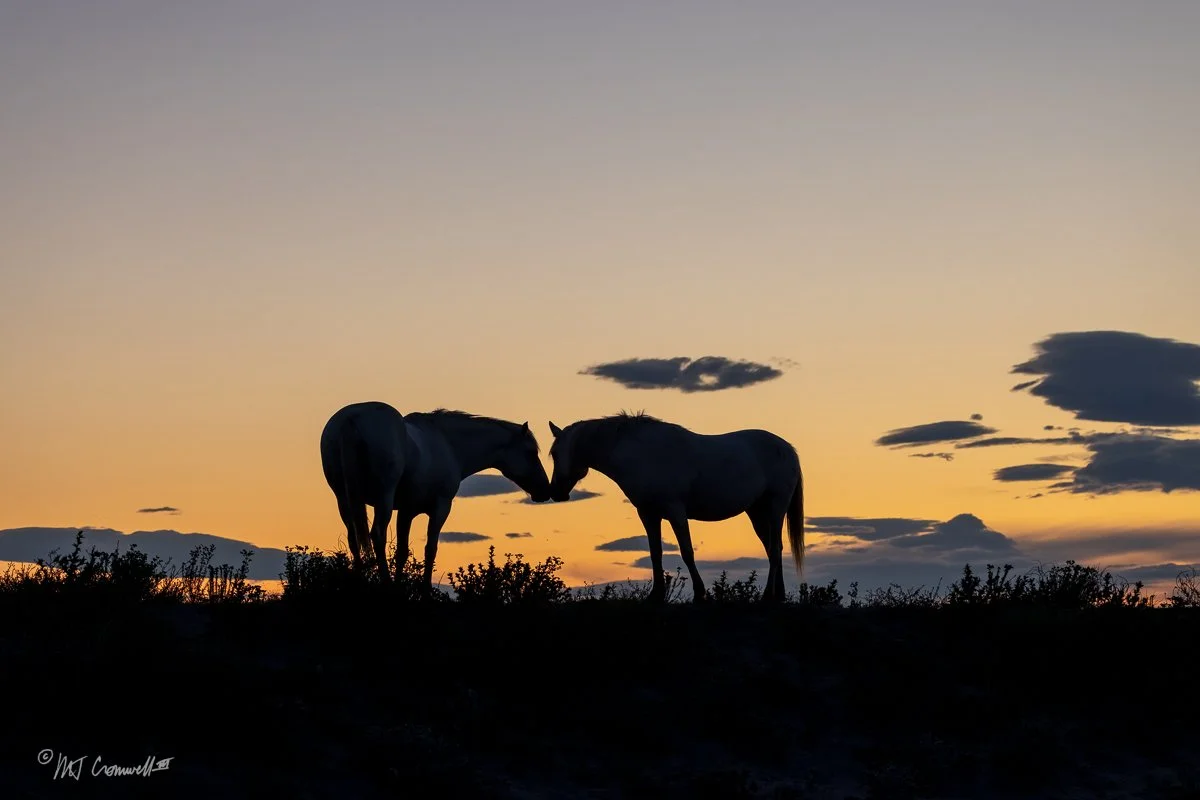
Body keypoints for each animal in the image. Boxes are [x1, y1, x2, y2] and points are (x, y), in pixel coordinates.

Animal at [391, 409, 551, 589]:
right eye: (531, 453)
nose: (546, 490)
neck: (445, 445)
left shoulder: (408, 511)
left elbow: (404, 552)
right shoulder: (429, 509)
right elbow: (426, 551)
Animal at [546, 411, 804, 603]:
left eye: (556, 454)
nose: (555, 492)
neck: (642, 454)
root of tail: (788, 449)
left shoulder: (675, 511)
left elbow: (687, 552)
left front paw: (700, 594)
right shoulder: (648, 514)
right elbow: (655, 553)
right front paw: (656, 595)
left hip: (775, 509)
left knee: (774, 549)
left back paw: (767, 596)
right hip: (756, 513)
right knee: (773, 548)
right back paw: (777, 595)